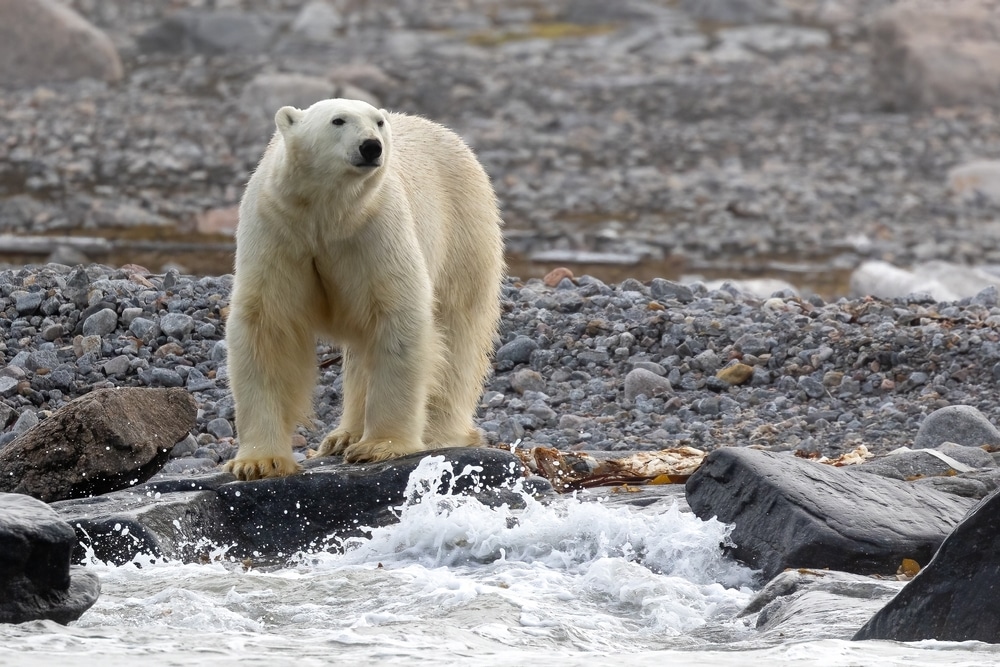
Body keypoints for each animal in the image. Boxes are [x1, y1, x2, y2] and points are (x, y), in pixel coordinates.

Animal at [223, 98, 505, 481]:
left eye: (378, 122)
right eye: (338, 120)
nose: (372, 146)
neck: (327, 215)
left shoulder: (376, 229)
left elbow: (399, 319)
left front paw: (379, 446)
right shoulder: (278, 230)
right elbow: (266, 327)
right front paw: (257, 462)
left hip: (464, 229)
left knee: (458, 331)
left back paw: (438, 432)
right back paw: (343, 435)